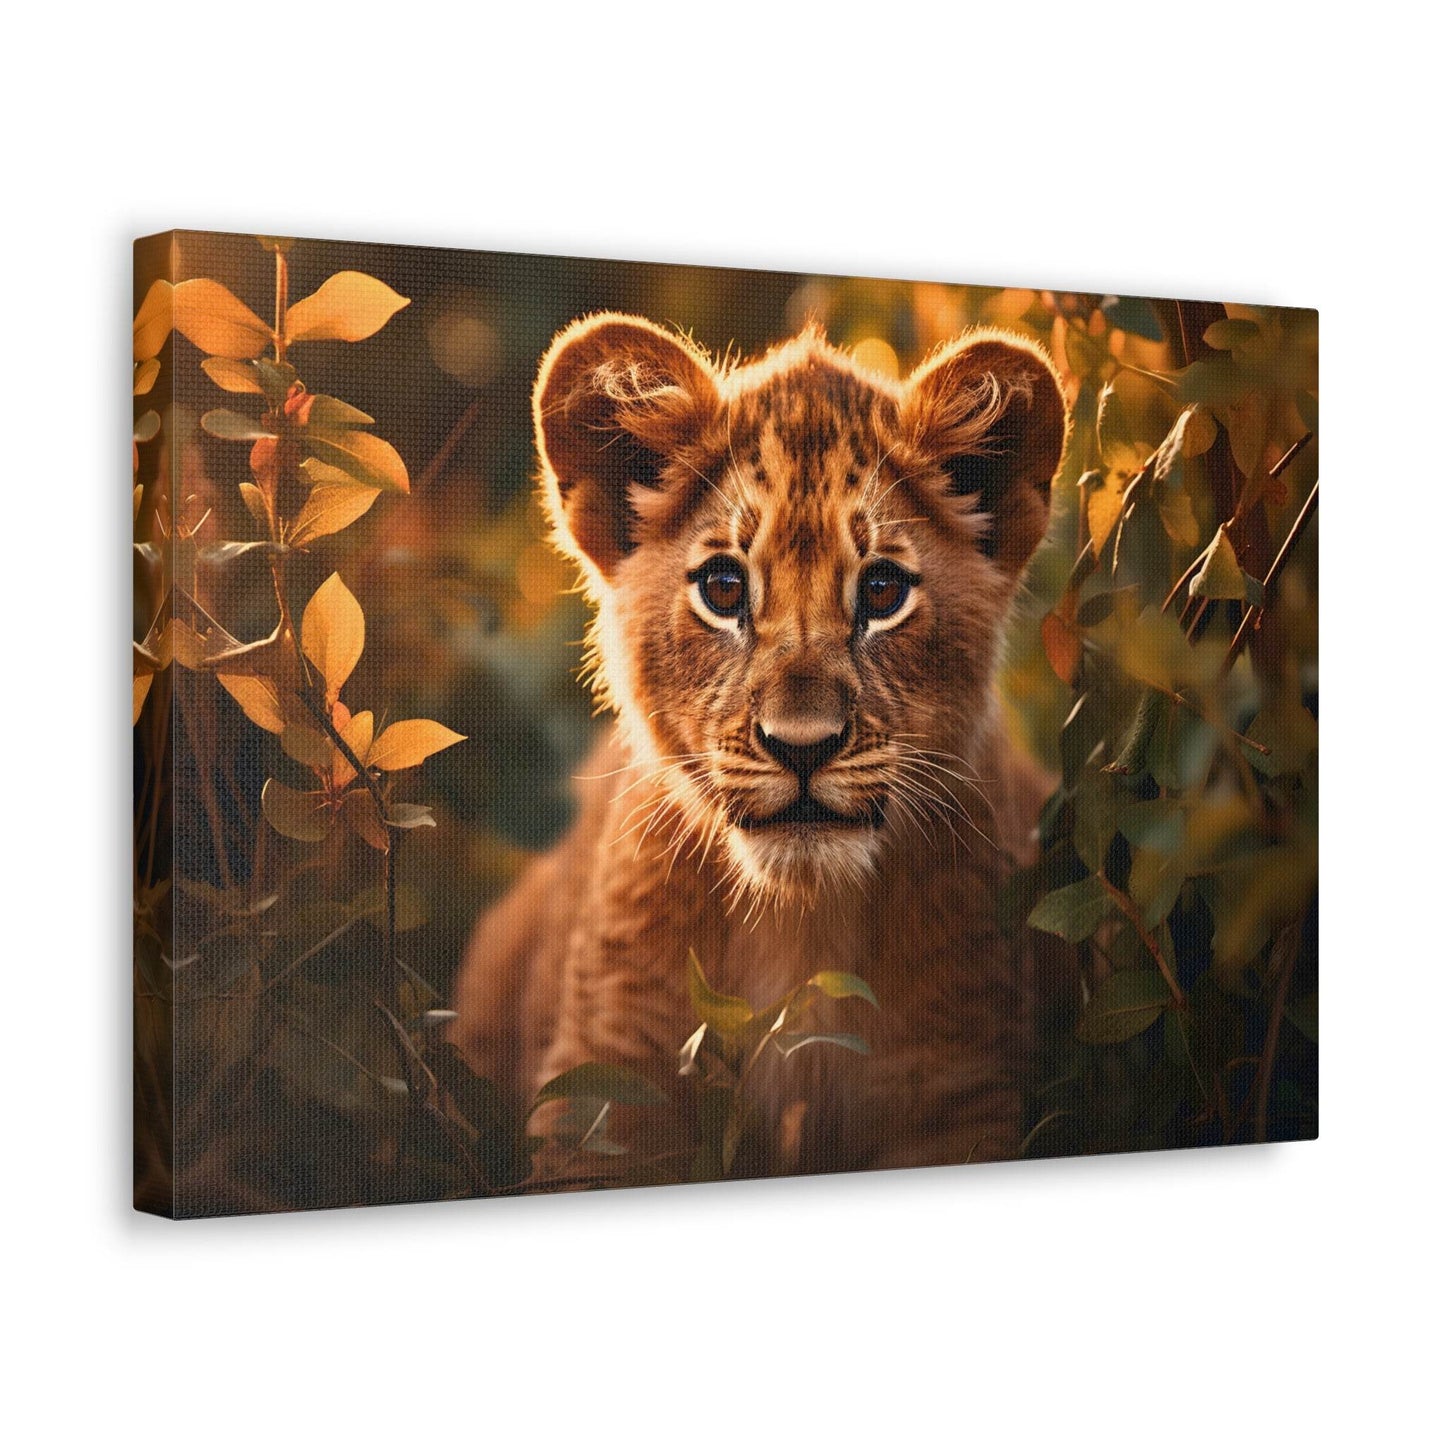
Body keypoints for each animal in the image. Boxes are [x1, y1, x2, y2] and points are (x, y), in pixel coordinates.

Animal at [451, 312, 1069, 1178]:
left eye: (882, 590)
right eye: (723, 588)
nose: (801, 747)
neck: (798, 924)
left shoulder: (958, 1091)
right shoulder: (606, 1091)